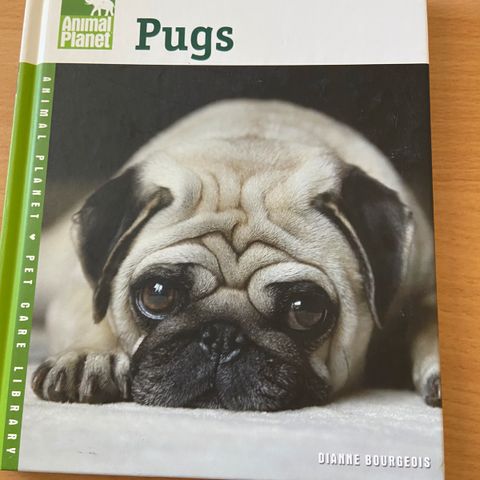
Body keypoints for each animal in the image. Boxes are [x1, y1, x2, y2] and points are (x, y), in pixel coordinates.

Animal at [31, 99, 441, 410]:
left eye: (305, 309)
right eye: (157, 294)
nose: (221, 335)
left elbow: (430, 318)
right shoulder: (77, 294)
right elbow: (96, 311)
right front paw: (90, 356)